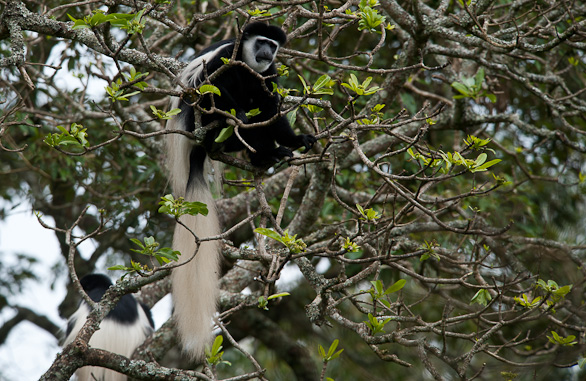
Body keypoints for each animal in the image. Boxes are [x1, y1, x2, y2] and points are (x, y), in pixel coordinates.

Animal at [164, 23, 314, 360]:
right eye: (261, 42)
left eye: (273, 46)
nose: (266, 52)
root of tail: (195, 148)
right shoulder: (224, 57)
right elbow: (209, 83)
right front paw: (240, 115)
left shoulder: (270, 72)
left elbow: (272, 104)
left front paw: (297, 139)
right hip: (201, 120)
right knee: (216, 92)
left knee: (262, 105)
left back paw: (266, 154)